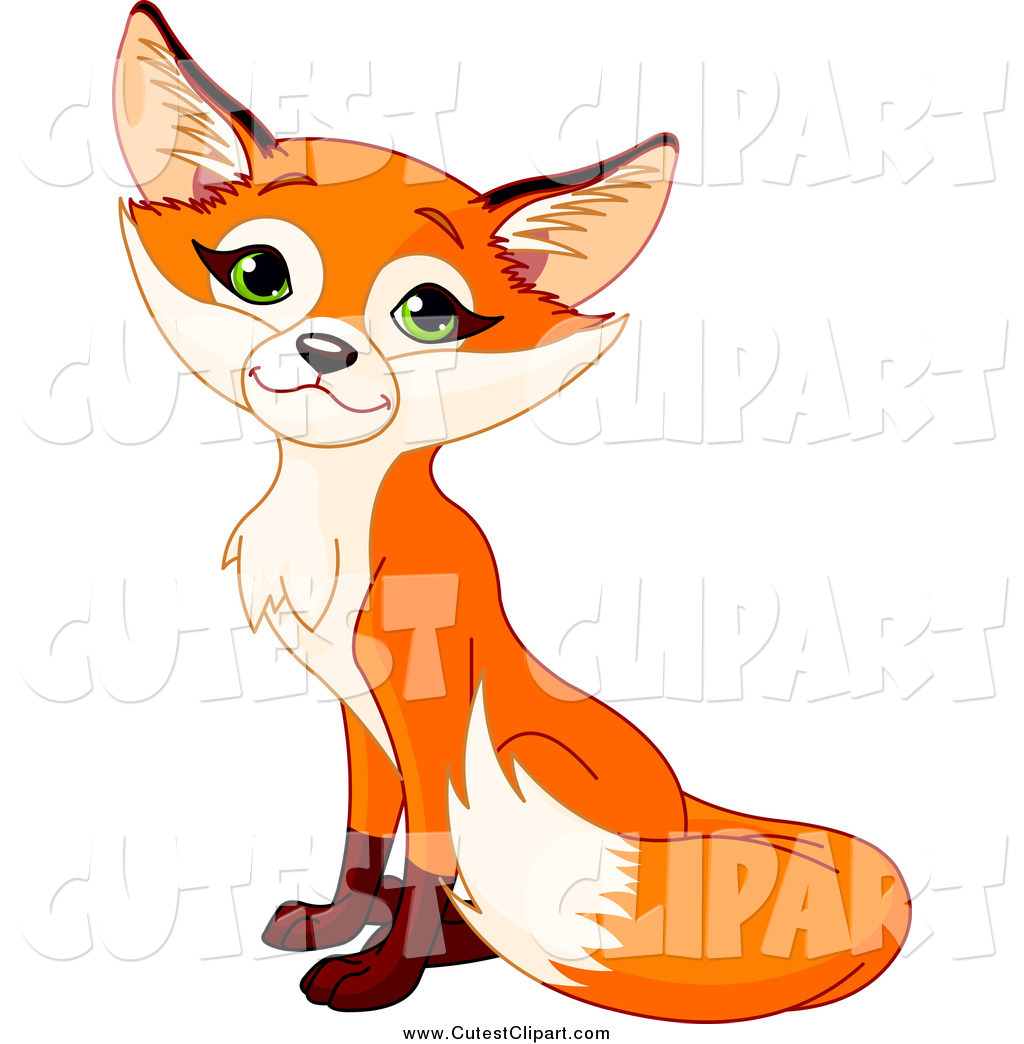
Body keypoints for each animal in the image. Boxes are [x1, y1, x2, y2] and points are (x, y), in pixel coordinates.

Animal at [113, 2, 910, 1020]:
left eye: (428, 313)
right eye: (260, 275)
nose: (326, 352)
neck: (331, 531)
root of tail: (686, 810)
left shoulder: (426, 709)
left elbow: (421, 861)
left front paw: (385, 974)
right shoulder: (360, 714)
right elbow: (365, 839)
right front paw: (340, 922)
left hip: (531, 770)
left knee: (499, 909)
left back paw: (456, 945)